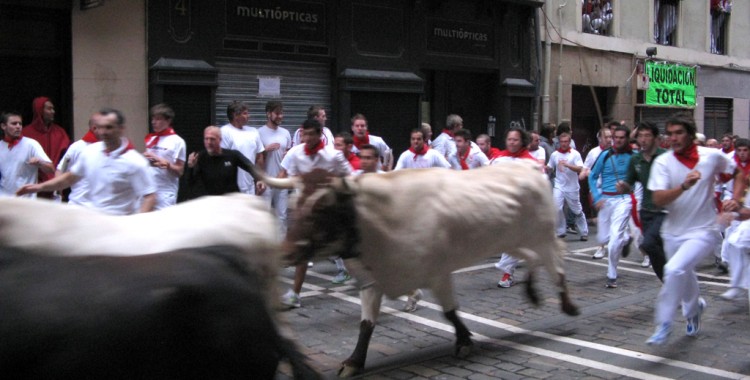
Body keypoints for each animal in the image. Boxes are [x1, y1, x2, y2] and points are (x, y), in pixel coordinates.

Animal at [264, 161, 580, 378]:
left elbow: (450, 312)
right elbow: (366, 325)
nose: (286, 252)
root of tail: (526, 166)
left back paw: (568, 305)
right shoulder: (373, 282)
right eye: (294, 203)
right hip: (513, 241)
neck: (380, 221)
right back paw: (533, 292)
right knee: (533, 259)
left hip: (542, 236)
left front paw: (464, 341)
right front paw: (353, 362)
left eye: (321, 210)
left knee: (557, 265)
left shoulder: (438, 274)